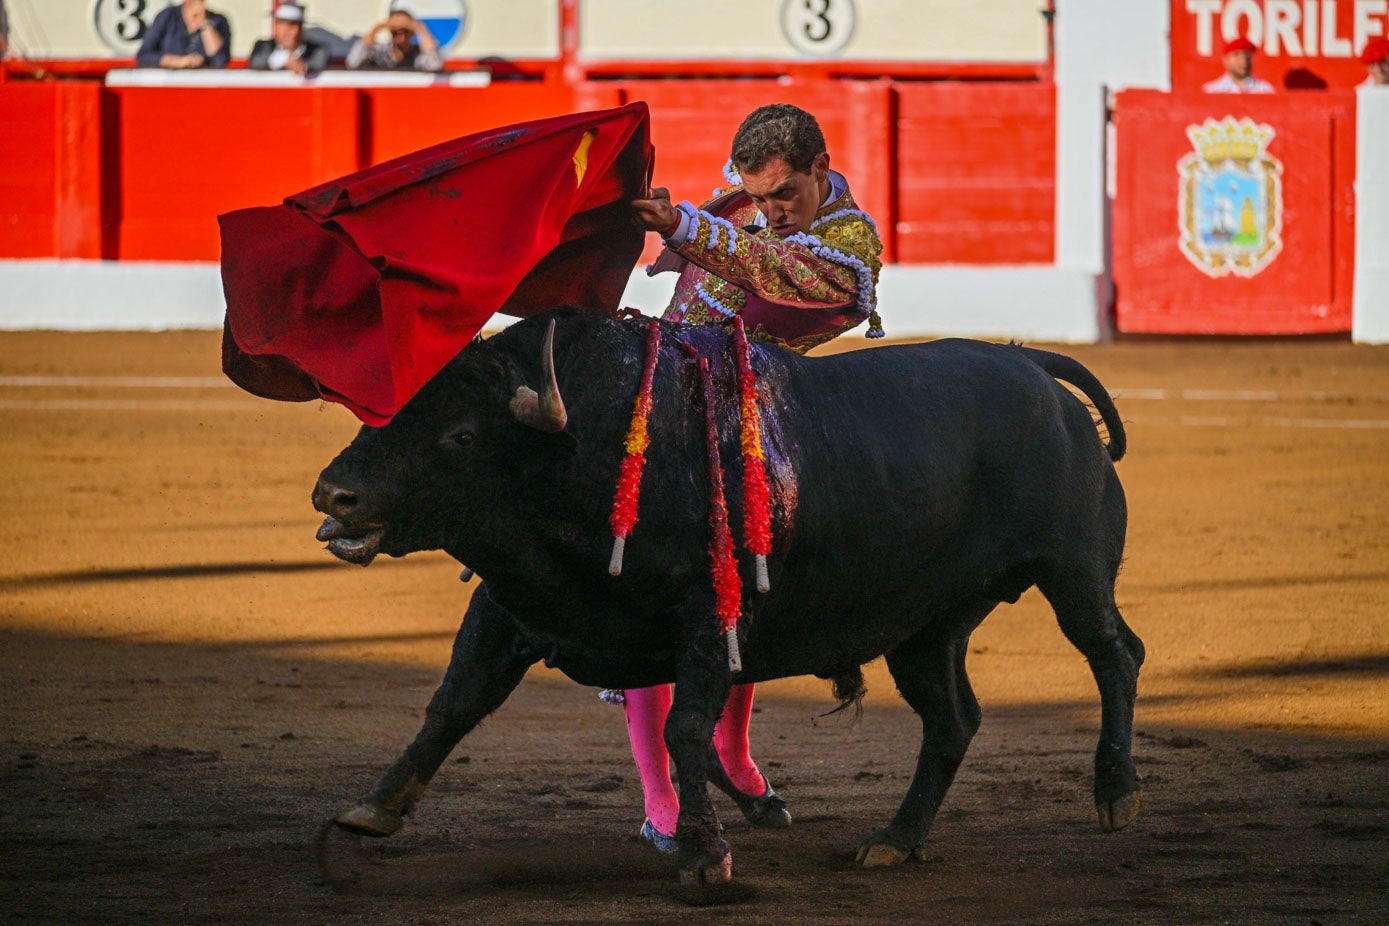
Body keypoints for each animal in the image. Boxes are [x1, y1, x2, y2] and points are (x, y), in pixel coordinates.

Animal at [312, 309, 1138, 899]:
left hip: (1071, 569)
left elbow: (682, 725)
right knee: (951, 718)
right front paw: (370, 811)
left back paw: (1116, 795)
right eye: (373, 417)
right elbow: (453, 703)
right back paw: (895, 840)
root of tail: (1028, 361)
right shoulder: (507, 607)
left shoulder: (710, 616)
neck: (588, 444)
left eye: (460, 435)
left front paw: (706, 860)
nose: (333, 494)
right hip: (925, 625)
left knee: (1113, 654)